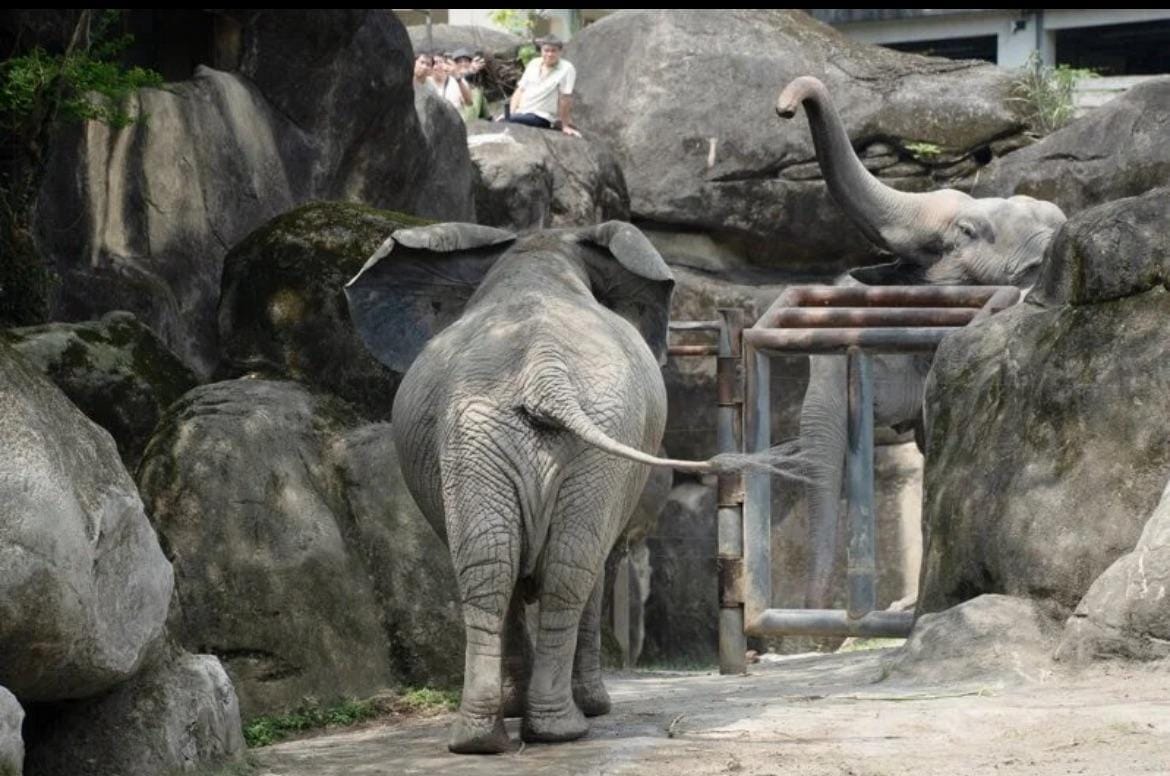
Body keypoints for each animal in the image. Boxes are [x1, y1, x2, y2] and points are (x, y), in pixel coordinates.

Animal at [345, 221, 800, 753]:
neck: (539, 252)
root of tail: (541, 371)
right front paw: (587, 707)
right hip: (578, 440)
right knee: (570, 567)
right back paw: (564, 728)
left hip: (478, 435)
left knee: (490, 563)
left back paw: (482, 739)